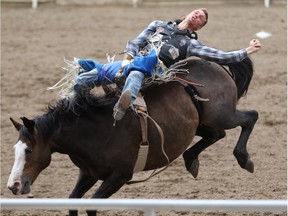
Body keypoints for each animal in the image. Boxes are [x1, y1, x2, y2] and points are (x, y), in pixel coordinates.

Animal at [6, 56, 256, 215]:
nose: (13, 185)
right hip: (201, 123)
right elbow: (73, 202)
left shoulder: (119, 176)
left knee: (251, 117)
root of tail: (213, 64)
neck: (94, 130)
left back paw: (244, 159)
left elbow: (92, 206)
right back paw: (191, 160)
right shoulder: (88, 173)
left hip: (223, 114)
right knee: (217, 134)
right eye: (15, 150)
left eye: (29, 150)